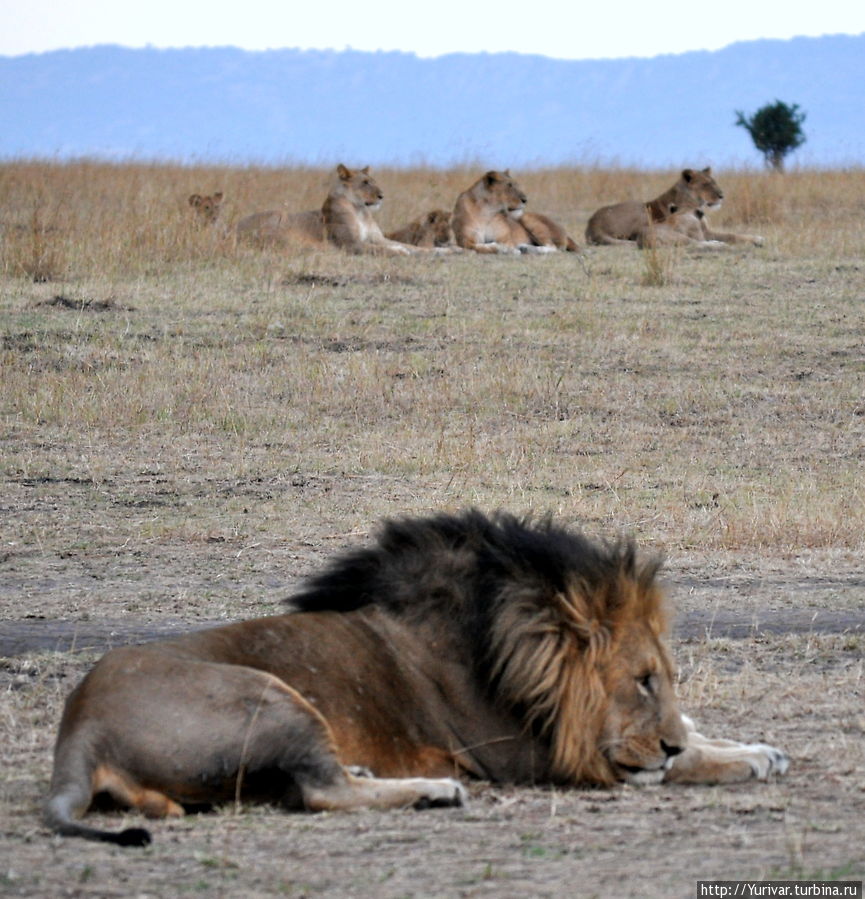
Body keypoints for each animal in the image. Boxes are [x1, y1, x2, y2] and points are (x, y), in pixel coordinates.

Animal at [49, 510, 788, 848]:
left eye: (665, 678)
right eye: (641, 680)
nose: (663, 741)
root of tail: (77, 730)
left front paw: (752, 746)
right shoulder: (532, 757)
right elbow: (670, 765)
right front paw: (731, 757)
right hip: (271, 696)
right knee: (322, 792)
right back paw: (434, 791)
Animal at [452, 171, 580, 255]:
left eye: (516, 185)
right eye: (509, 185)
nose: (525, 200)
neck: (487, 212)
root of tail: (565, 233)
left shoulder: (506, 239)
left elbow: (504, 245)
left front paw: (507, 248)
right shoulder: (465, 240)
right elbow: (479, 247)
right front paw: (500, 248)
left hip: (526, 218)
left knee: (553, 247)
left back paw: (528, 249)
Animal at [588, 166, 764, 248]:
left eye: (714, 182)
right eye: (706, 184)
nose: (721, 195)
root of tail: (592, 224)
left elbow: (734, 233)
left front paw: (756, 238)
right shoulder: (703, 232)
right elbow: (731, 235)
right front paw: (755, 240)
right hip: (642, 211)